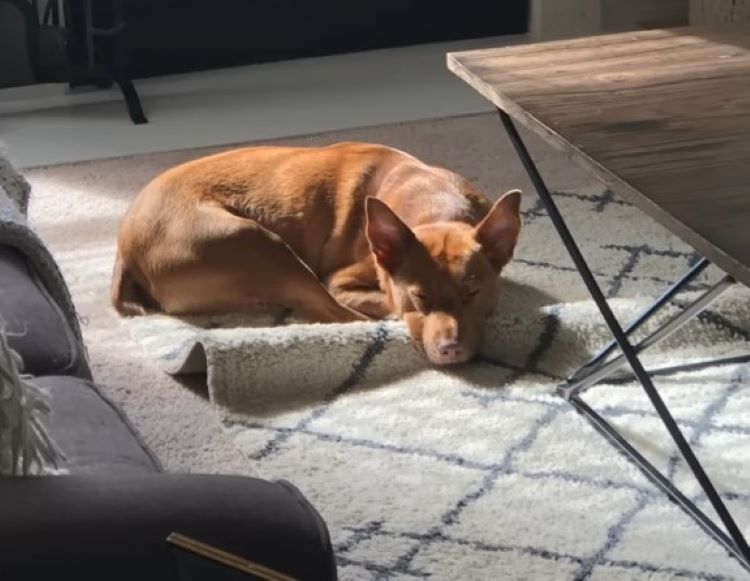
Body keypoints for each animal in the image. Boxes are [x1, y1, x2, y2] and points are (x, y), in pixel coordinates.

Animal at [113, 141, 524, 364]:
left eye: (473, 291)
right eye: (419, 297)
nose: (451, 350)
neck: (434, 203)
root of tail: (125, 248)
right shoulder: (343, 281)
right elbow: (377, 304)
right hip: (257, 243)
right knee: (331, 313)